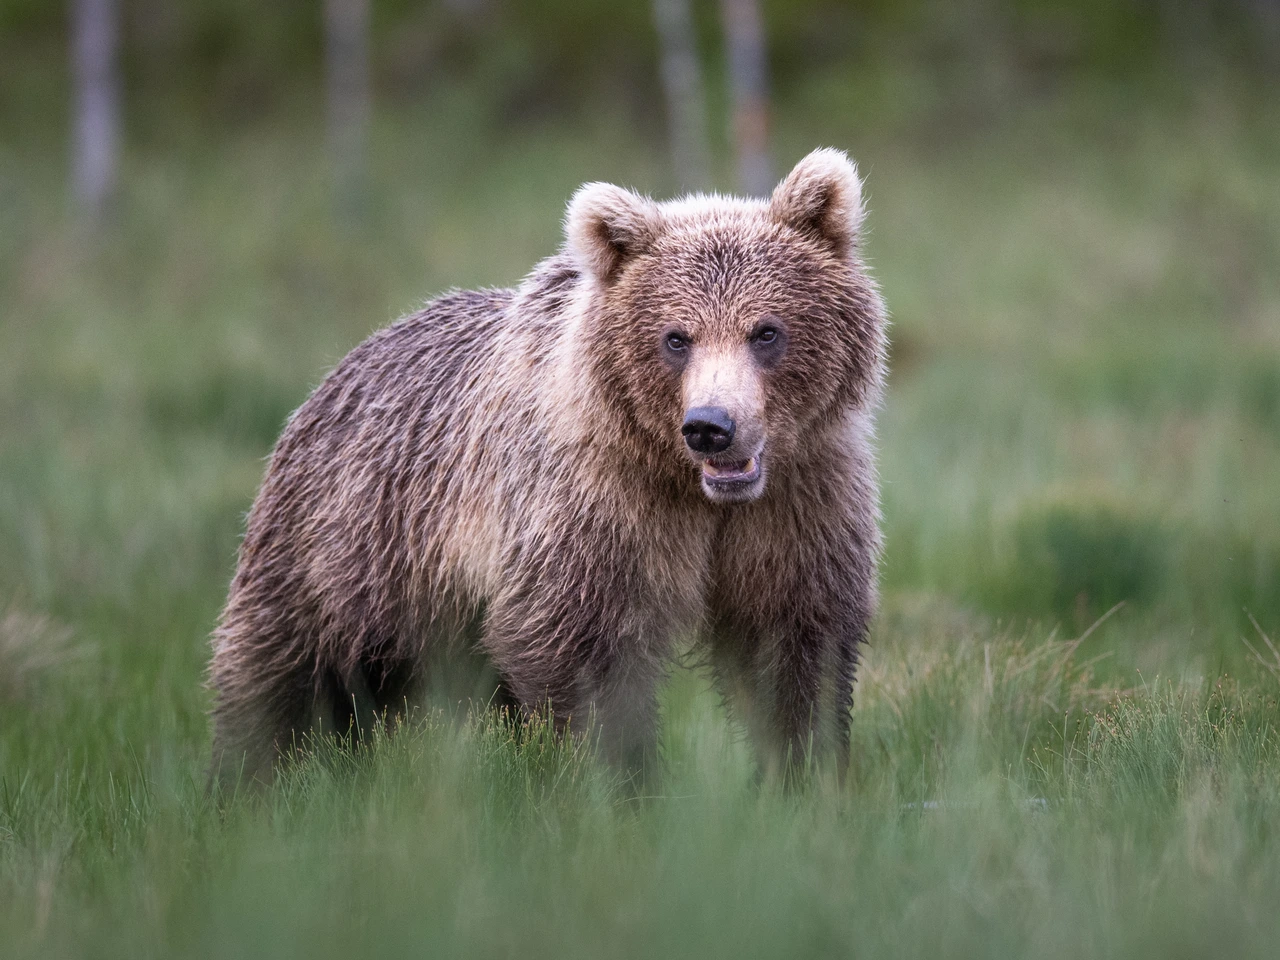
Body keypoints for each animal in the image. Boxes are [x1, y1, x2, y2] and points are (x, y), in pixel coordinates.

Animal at [209, 148, 887, 789]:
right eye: (676, 337)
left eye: (765, 331)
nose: (711, 426)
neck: (695, 492)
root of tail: (336, 372)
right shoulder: (593, 505)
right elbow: (584, 652)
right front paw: (619, 785)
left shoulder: (800, 502)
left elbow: (796, 649)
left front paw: (805, 777)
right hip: (344, 550)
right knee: (280, 677)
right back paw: (245, 784)